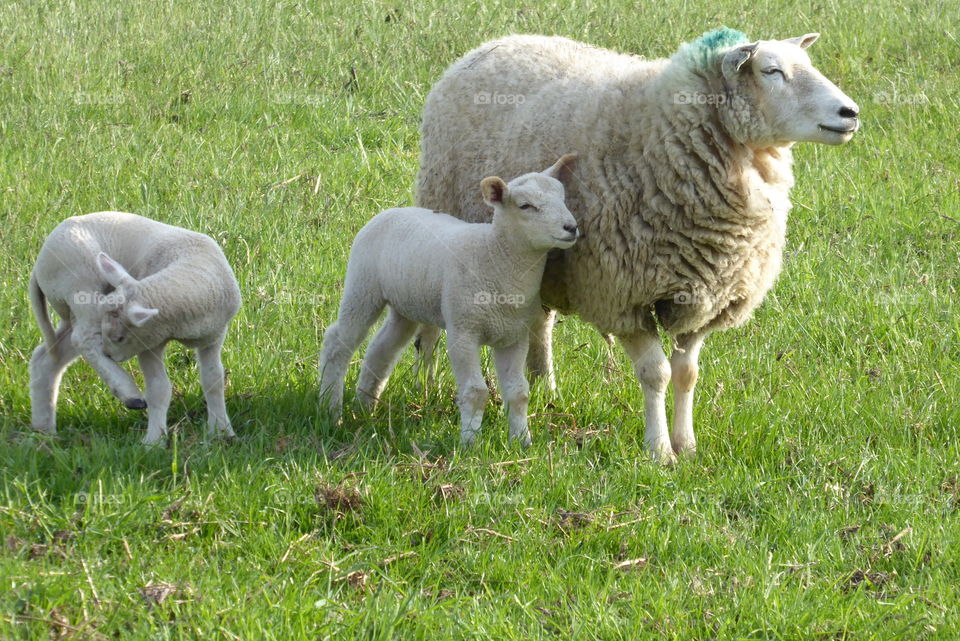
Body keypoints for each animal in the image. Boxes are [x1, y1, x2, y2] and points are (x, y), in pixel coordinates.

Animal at [29, 212, 242, 442]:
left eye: (120, 338)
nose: (109, 354)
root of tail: (39, 262)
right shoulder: (149, 342)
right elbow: (159, 389)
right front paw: (154, 440)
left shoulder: (214, 336)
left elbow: (213, 379)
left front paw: (221, 431)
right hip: (80, 287)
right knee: (83, 339)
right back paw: (128, 393)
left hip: (73, 310)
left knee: (47, 357)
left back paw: (44, 429)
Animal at [320, 155, 576, 444]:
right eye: (526, 206)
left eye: (563, 198)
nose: (572, 228)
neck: (496, 256)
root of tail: (390, 211)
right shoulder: (463, 331)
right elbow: (476, 392)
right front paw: (469, 443)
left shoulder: (513, 336)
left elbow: (518, 392)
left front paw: (521, 441)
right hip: (363, 287)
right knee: (338, 342)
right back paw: (331, 409)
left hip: (406, 305)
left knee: (381, 350)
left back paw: (365, 407)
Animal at [416, 27, 860, 462]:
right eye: (771, 71)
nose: (851, 113)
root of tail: (495, 41)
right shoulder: (622, 294)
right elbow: (656, 374)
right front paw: (660, 451)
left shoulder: (702, 294)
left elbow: (687, 374)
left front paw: (687, 446)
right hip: (440, 210)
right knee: (430, 318)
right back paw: (427, 382)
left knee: (539, 322)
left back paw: (546, 388)